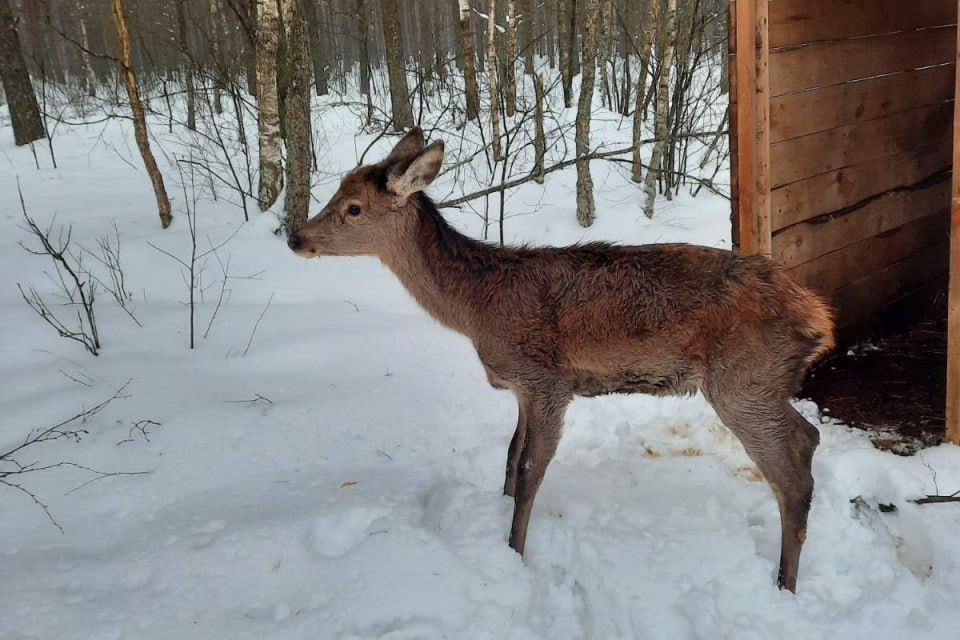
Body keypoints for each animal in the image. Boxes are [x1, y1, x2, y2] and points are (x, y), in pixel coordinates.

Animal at [284, 127, 832, 592]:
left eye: (353, 208)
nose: (295, 237)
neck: (479, 309)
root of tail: (819, 317)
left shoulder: (547, 381)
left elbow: (530, 472)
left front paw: (515, 553)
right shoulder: (522, 389)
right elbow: (510, 456)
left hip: (741, 382)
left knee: (791, 473)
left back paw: (784, 585)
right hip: (761, 383)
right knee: (809, 437)